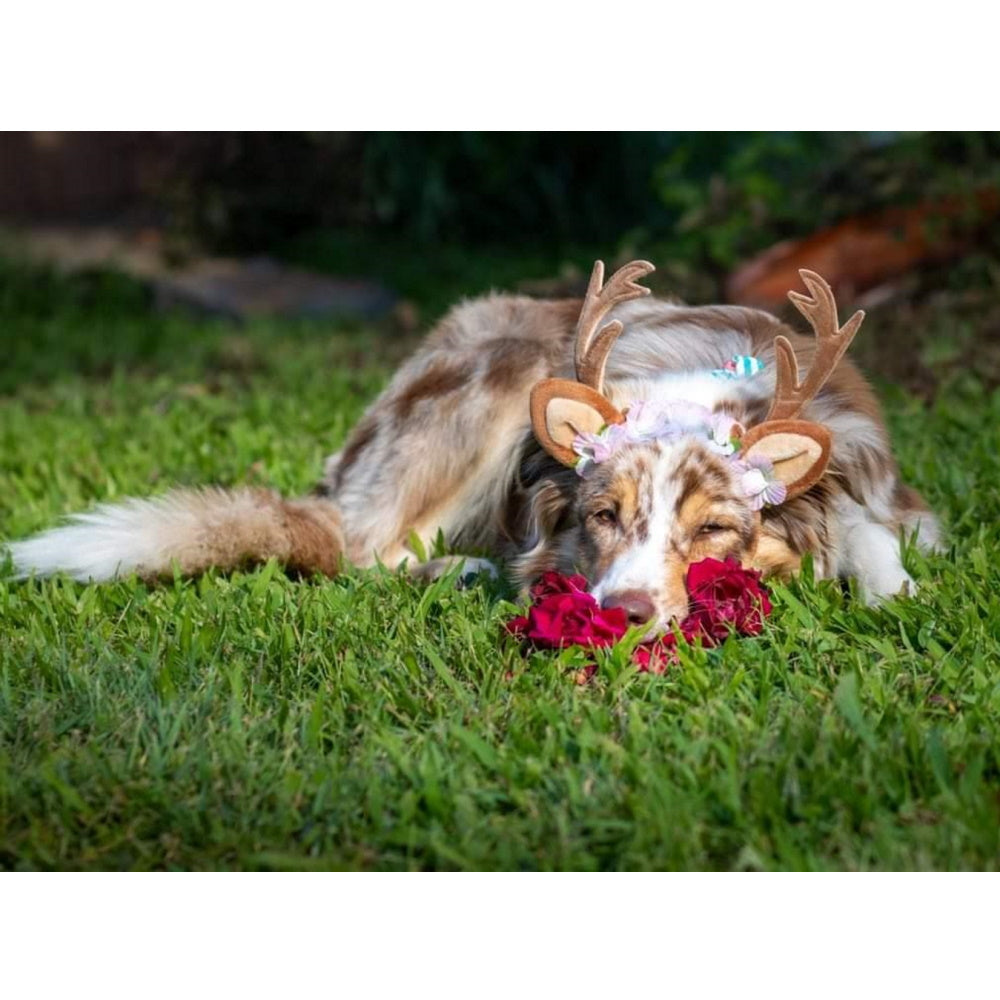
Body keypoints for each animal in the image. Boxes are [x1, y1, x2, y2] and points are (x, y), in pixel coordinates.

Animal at [5, 260, 936, 632]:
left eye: (712, 530)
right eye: (603, 516)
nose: (625, 613)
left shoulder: (883, 486)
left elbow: (878, 540)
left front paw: (891, 591)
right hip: (498, 374)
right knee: (363, 551)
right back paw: (461, 567)